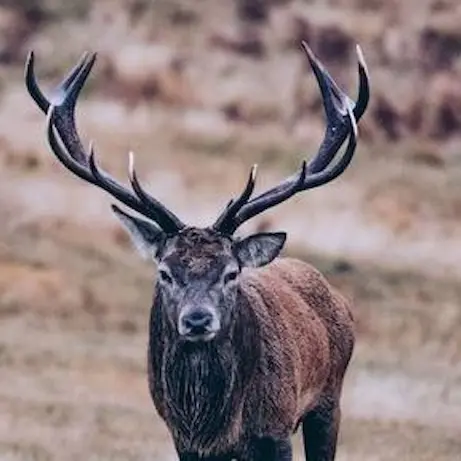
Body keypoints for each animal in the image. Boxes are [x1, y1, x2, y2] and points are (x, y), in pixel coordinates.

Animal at [25, 42, 370, 460]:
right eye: (165, 272)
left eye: (231, 272)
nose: (197, 320)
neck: (214, 425)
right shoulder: (185, 442)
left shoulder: (275, 429)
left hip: (329, 400)